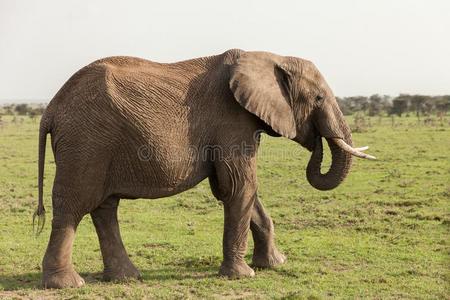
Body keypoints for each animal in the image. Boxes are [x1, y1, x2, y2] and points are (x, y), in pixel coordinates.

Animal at [33, 48, 374, 288]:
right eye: (318, 98)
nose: (316, 142)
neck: (270, 57)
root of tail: (50, 110)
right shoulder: (231, 121)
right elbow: (239, 186)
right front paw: (243, 276)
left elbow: (237, 189)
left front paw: (275, 264)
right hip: (86, 142)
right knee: (74, 206)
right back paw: (68, 284)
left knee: (104, 207)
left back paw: (126, 278)